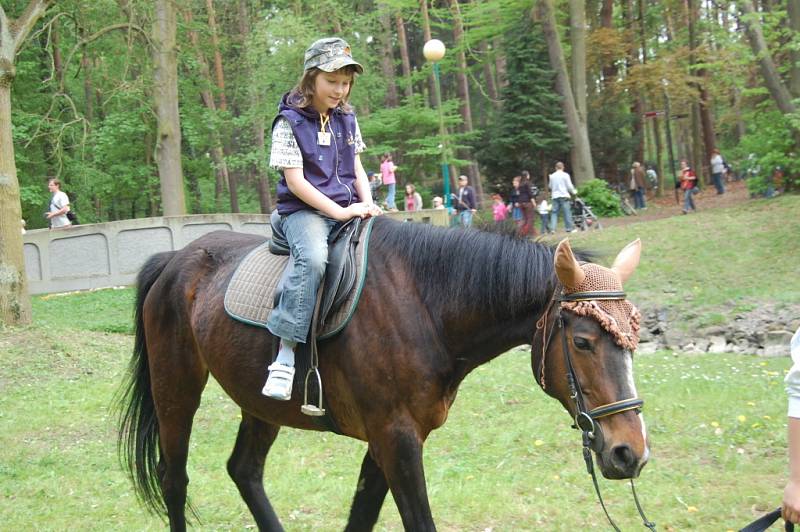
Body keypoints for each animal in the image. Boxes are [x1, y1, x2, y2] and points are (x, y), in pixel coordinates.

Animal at [117, 217, 648, 532]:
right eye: (582, 342)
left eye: (633, 339)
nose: (631, 452)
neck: (426, 305)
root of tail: (175, 260)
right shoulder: (395, 437)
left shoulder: (390, 438)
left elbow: (361, 517)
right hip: (176, 386)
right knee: (174, 477)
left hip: (260, 403)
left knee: (243, 470)